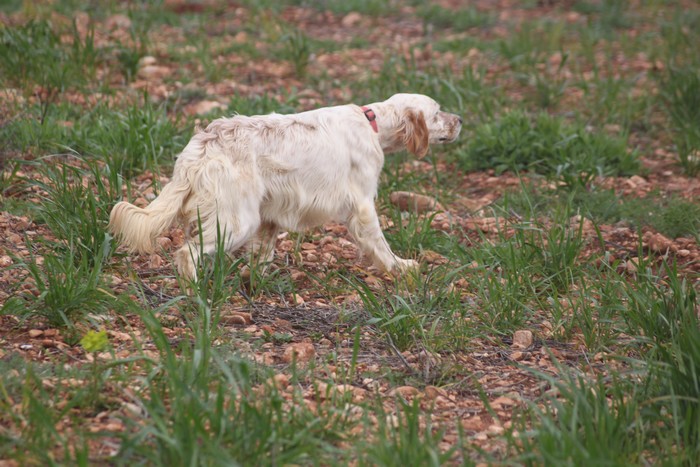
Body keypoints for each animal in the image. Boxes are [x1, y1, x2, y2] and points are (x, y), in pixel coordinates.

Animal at [109, 93, 462, 280]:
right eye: (438, 113)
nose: (460, 119)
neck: (373, 123)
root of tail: (203, 144)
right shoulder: (362, 205)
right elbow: (380, 245)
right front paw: (400, 266)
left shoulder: (271, 212)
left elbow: (263, 253)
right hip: (237, 220)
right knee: (186, 252)